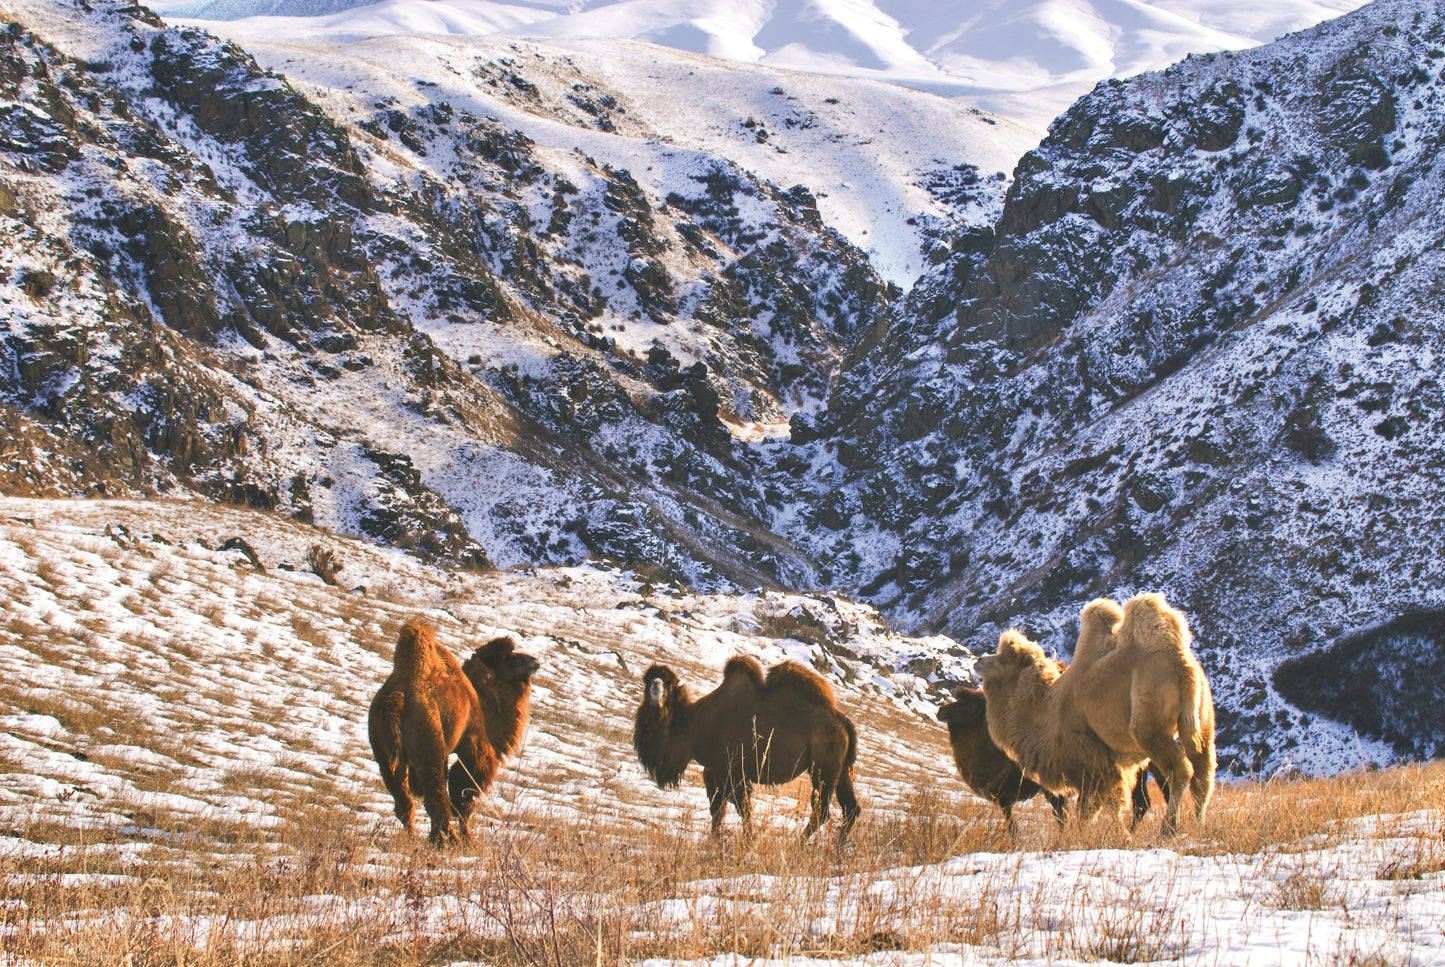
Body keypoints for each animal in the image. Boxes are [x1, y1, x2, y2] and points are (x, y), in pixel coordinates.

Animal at [369, 621, 540, 838]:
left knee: (404, 801)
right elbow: (463, 796)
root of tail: (395, 701)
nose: (535, 661)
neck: (483, 701)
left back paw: (414, 836)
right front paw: (467, 836)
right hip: (429, 752)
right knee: (436, 799)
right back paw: (450, 840)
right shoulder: (474, 748)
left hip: (385, 756)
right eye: (512, 659)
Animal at [632, 656, 855, 838]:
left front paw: (748, 842)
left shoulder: (733, 773)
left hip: (823, 769)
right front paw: (715, 840)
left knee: (822, 811)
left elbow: (742, 810)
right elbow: (717, 810)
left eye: (668, 682)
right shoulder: (713, 771)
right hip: (841, 770)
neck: (695, 727)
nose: (656, 686)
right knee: (851, 808)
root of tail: (842, 721)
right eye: (647, 680)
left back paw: (798, 845)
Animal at [976, 592, 1213, 832]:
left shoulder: (1091, 760)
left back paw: (1168, 829)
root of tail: (1182, 665)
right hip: (1201, 722)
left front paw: (1117, 835)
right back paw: (1199, 825)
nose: (979, 660)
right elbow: (1093, 807)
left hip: (1151, 727)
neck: (1048, 711)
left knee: (1181, 771)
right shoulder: (1102, 765)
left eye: (1003, 660)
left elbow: (1100, 805)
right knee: (1203, 773)